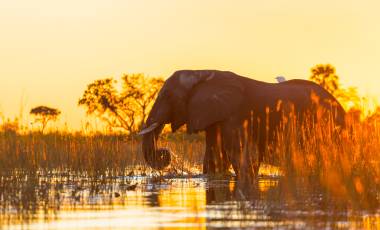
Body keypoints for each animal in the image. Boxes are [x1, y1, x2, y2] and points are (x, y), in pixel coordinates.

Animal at [139, 69, 344, 178]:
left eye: (167, 96)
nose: (164, 153)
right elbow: (214, 157)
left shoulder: (234, 116)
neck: (201, 73)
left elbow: (238, 155)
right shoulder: (215, 115)